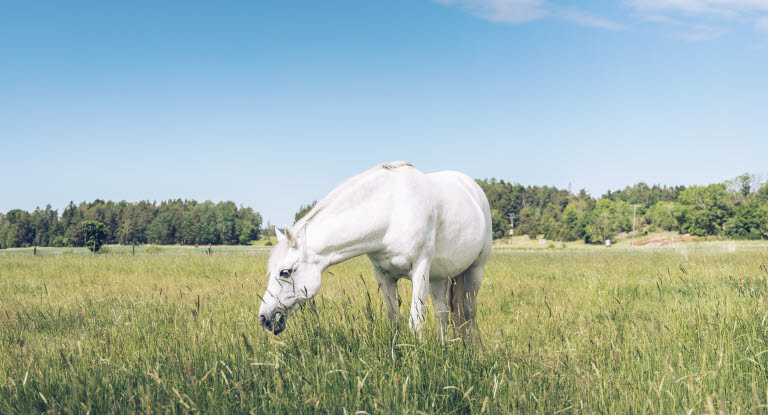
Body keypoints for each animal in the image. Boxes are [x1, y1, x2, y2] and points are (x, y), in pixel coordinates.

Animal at [258, 161, 492, 336]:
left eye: (285, 272)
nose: (264, 318)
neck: (391, 212)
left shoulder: (420, 271)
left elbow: (415, 323)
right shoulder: (383, 275)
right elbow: (394, 320)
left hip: (475, 271)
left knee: (469, 313)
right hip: (438, 276)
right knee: (442, 313)